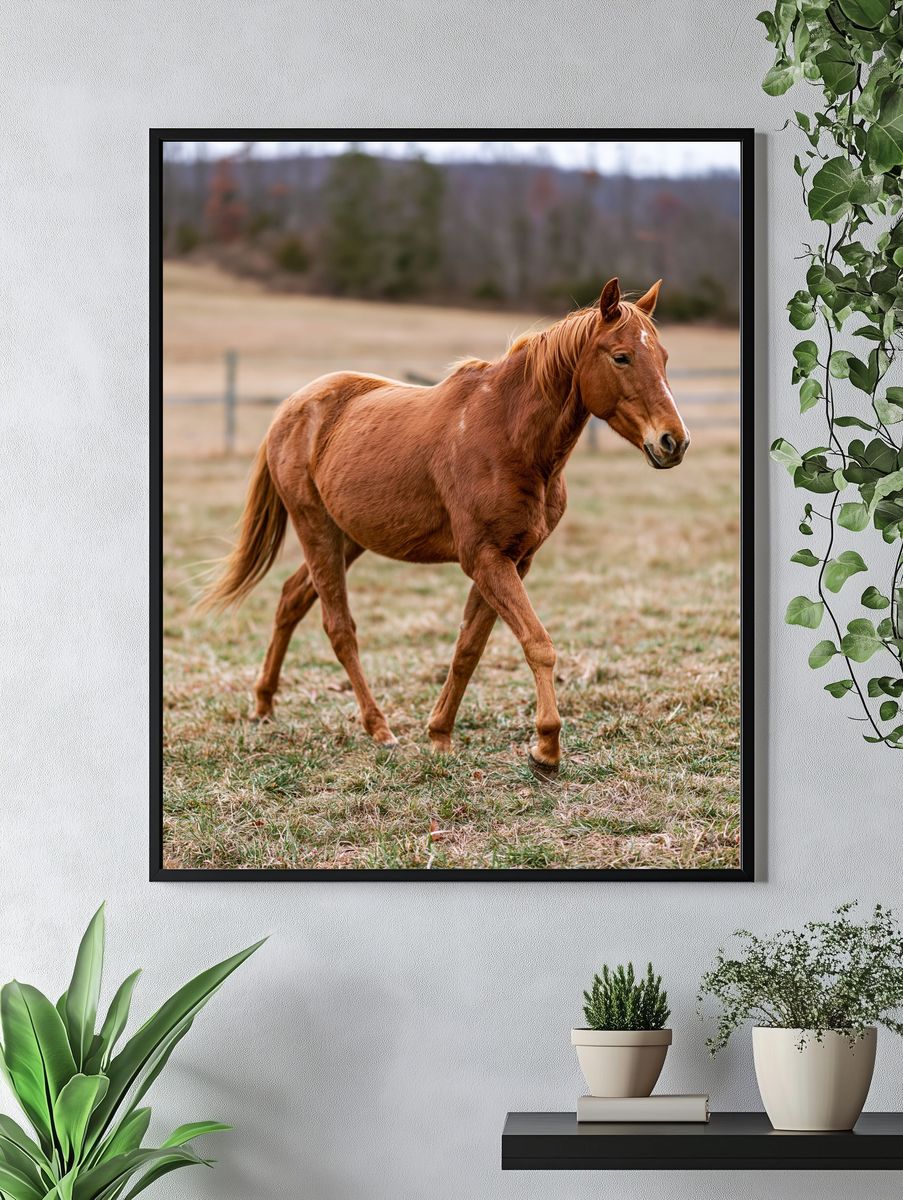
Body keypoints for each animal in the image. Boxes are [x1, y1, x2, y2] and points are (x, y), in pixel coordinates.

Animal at [199, 277, 689, 773]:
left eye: (664, 356)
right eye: (621, 356)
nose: (674, 441)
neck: (508, 435)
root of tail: (291, 408)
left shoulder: (515, 560)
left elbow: (468, 649)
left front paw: (440, 734)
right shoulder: (486, 560)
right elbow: (537, 643)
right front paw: (546, 746)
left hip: (347, 537)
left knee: (291, 600)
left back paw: (264, 704)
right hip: (315, 527)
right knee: (339, 627)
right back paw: (378, 728)